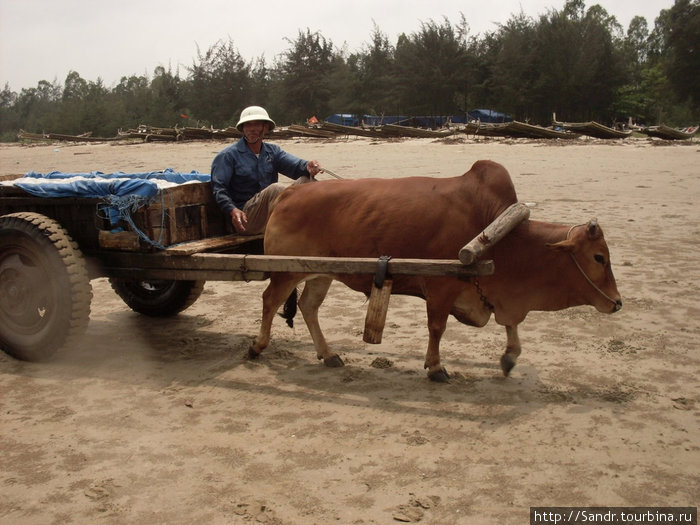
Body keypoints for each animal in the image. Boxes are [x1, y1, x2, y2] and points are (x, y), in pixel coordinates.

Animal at [249, 160, 620, 380]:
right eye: (599, 257)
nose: (617, 302)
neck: (499, 234)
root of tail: (289, 193)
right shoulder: (441, 289)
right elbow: (437, 328)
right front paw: (437, 367)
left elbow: (510, 325)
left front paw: (510, 357)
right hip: (285, 272)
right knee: (269, 301)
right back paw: (257, 347)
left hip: (319, 273)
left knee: (308, 307)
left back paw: (328, 355)